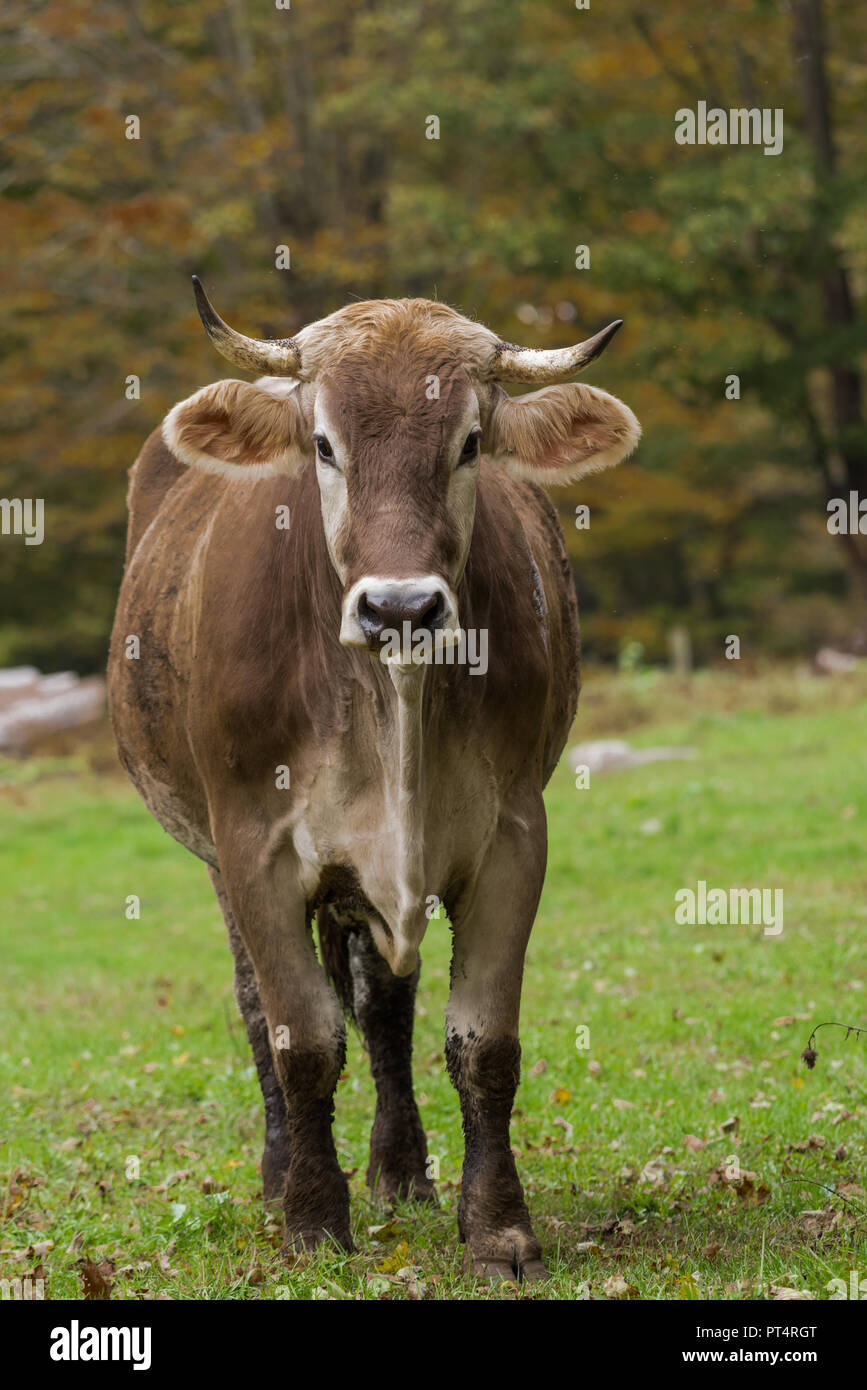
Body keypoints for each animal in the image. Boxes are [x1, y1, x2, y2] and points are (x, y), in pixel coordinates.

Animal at [106, 282, 636, 1278]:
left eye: (470, 442)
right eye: (323, 444)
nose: (399, 607)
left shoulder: (512, 838)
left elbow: (483, 1045)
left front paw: (497, 1228)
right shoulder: (254, 849)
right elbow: (302, 1042)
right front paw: (313, 1220)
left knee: (384, 1011)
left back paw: (401, 1172)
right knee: (260, 1011)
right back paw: (281, 1174)